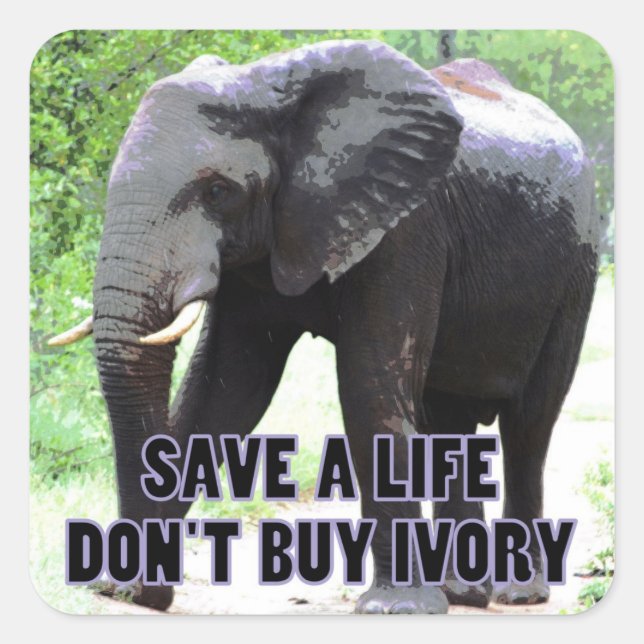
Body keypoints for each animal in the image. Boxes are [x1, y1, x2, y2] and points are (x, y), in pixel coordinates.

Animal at [50, 40, 599, 614]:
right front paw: (122, 587)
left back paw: (519, 594)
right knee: (446, 422)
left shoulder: (407, 228)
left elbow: (369, 387)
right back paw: (462, 593)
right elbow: (223, 392)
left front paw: (394, 610)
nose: (147, 594)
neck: (270, 89)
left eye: (219, 191)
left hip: (576, 273)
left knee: (529, 425)